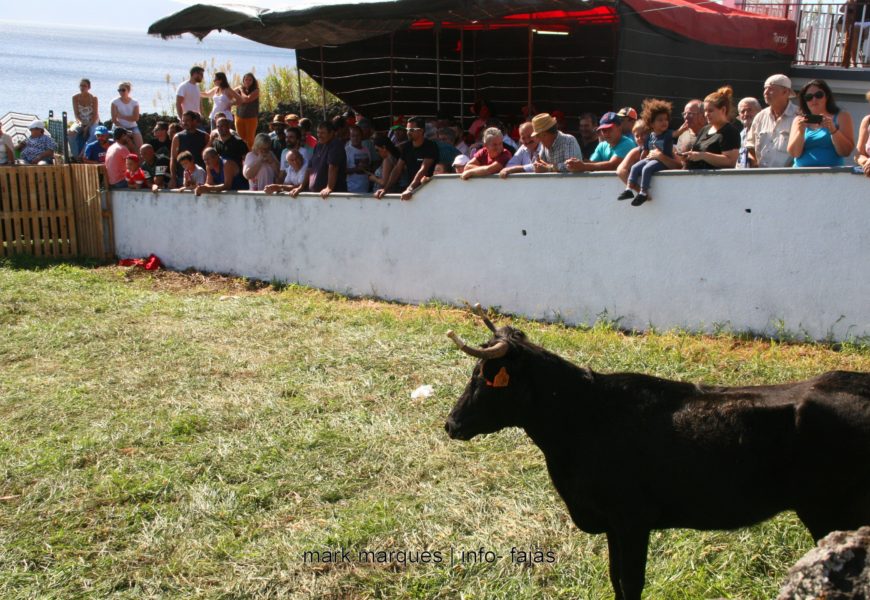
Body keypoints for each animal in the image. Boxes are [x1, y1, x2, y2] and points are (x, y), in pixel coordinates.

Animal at [446, 324, 870, 600]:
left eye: (483, 377)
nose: (451, 424)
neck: (585, 419)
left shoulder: (632, 519)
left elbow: (631, 582)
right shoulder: (613, 525)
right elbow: (616, 579)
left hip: (830, 511)